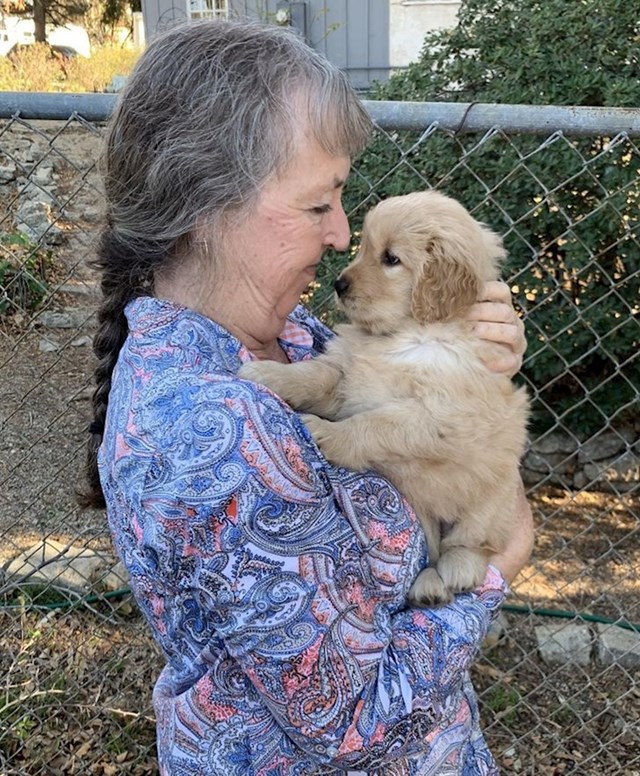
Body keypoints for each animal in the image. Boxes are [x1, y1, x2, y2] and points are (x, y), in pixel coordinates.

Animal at [240, 189, 528, 608]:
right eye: (364, 247)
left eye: (391, 259)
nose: (339, 284)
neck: (403, 335)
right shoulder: (346, 377)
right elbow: (312, 375)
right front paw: (266, 374)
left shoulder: (439, 415)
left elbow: (374, 424)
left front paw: (327, 434)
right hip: (422, 509)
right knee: (432, 550)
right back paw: (428, 585)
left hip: (496, 494)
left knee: (472, 543)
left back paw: (456, 570)